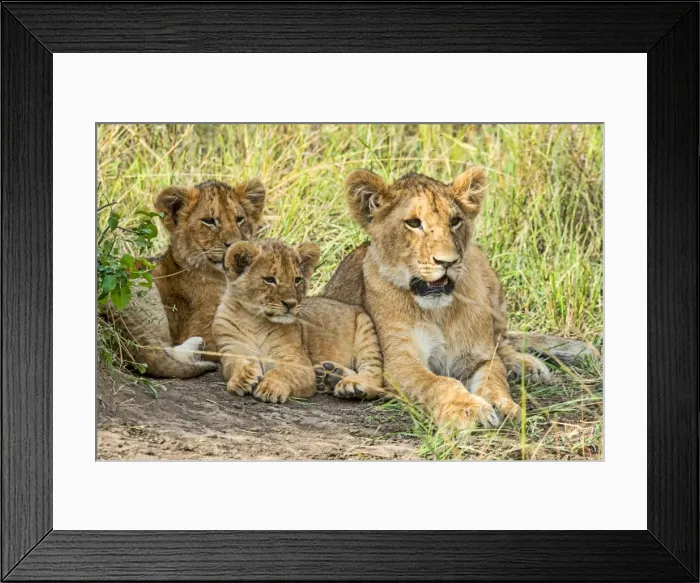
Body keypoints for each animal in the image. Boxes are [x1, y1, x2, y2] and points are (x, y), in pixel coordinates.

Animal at [213, 239, 384, 403]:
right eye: (269, 280)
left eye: (297, 280)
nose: (291, 304)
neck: (256, 321)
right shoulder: (232, 348)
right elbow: (236, 364)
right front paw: (243, 378)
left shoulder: (299, 363)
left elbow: (282, 373)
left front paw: (270, 387)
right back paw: (330, 375)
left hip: (366, 328)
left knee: (377, 378)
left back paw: (351, 383)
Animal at [322, 167, 550, 428]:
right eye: (414, 223)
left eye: (455, 221)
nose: (448, 262)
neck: (439, 311)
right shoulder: (400, 361)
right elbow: (439, 383)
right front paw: (469, 409)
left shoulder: (480, 357)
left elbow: (495, 379)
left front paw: (506, 407)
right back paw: (340, 378)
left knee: (502, 343)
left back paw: (530, 367)